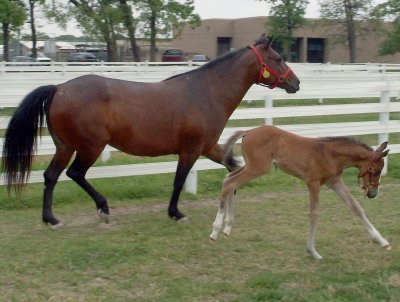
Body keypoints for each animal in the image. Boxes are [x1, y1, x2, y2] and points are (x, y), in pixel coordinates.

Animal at [0, 34, 300, 229]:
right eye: (278, 58)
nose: (295, 83)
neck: (206, 91)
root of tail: (59, 88)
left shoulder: (209, 147)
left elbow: (233, 168)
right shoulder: (190, 150)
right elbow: (179, 181)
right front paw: (176, 213)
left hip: (65, 146)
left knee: (51, 176)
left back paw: (51, 219)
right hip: (90, 146)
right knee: (75, 174)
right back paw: (103, 209)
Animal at [211, 125, 390, 260]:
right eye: (375, 170)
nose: (373, 193)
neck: (330, 154)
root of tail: (248, 131)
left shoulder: (334, 182)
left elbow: (355, 206)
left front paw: (382, 241)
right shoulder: (313, 183)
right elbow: (315, 213)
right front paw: (312, 251)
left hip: (251, 167)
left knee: (228, 178)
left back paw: (227, 227)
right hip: (257, 168)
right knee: (230, 183)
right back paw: (215, 231)